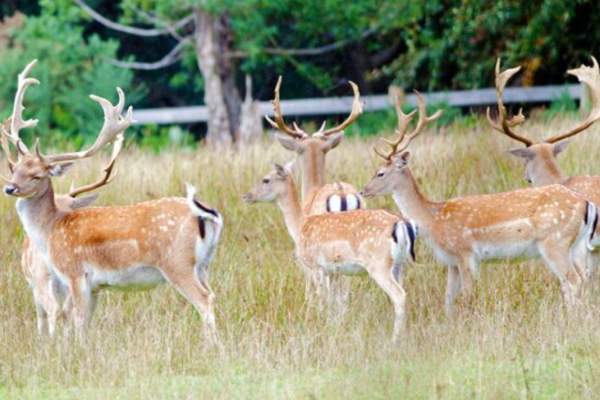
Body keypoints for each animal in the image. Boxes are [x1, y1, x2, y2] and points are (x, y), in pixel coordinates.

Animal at [0, 60, 223, 340]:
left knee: (205, 300)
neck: (50, 230)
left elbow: (77, 320)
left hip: (177, 262)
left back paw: (211, 346)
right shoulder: (95, 286)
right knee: (212, 294)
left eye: (37, 175)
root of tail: (207, 213)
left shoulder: (75, 272)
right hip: (204, 264)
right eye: (16, 168)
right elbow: (83, 321)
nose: (10, 188)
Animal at [244, 162, 418, 340]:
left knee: (399, 295)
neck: (300, 226)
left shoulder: (316, 266)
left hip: (379, 265)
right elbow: (333, 299)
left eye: (266, 179)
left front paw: (320, 323)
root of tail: (402, 224)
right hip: (399, 265)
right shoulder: (333, 271)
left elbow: (322, 298)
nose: (247, 196)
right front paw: (334, 323)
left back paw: (395, 338)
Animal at [364, 92, 596, 314]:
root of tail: (585, 204)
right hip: (576, 244)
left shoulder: (465, 253)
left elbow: (466, 296)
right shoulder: (451, 262)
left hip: (554, 241)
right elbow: (448, 300)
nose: (364, 190)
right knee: (582, 278)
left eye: (380, 173)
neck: (432, 219)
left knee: (573, 280)